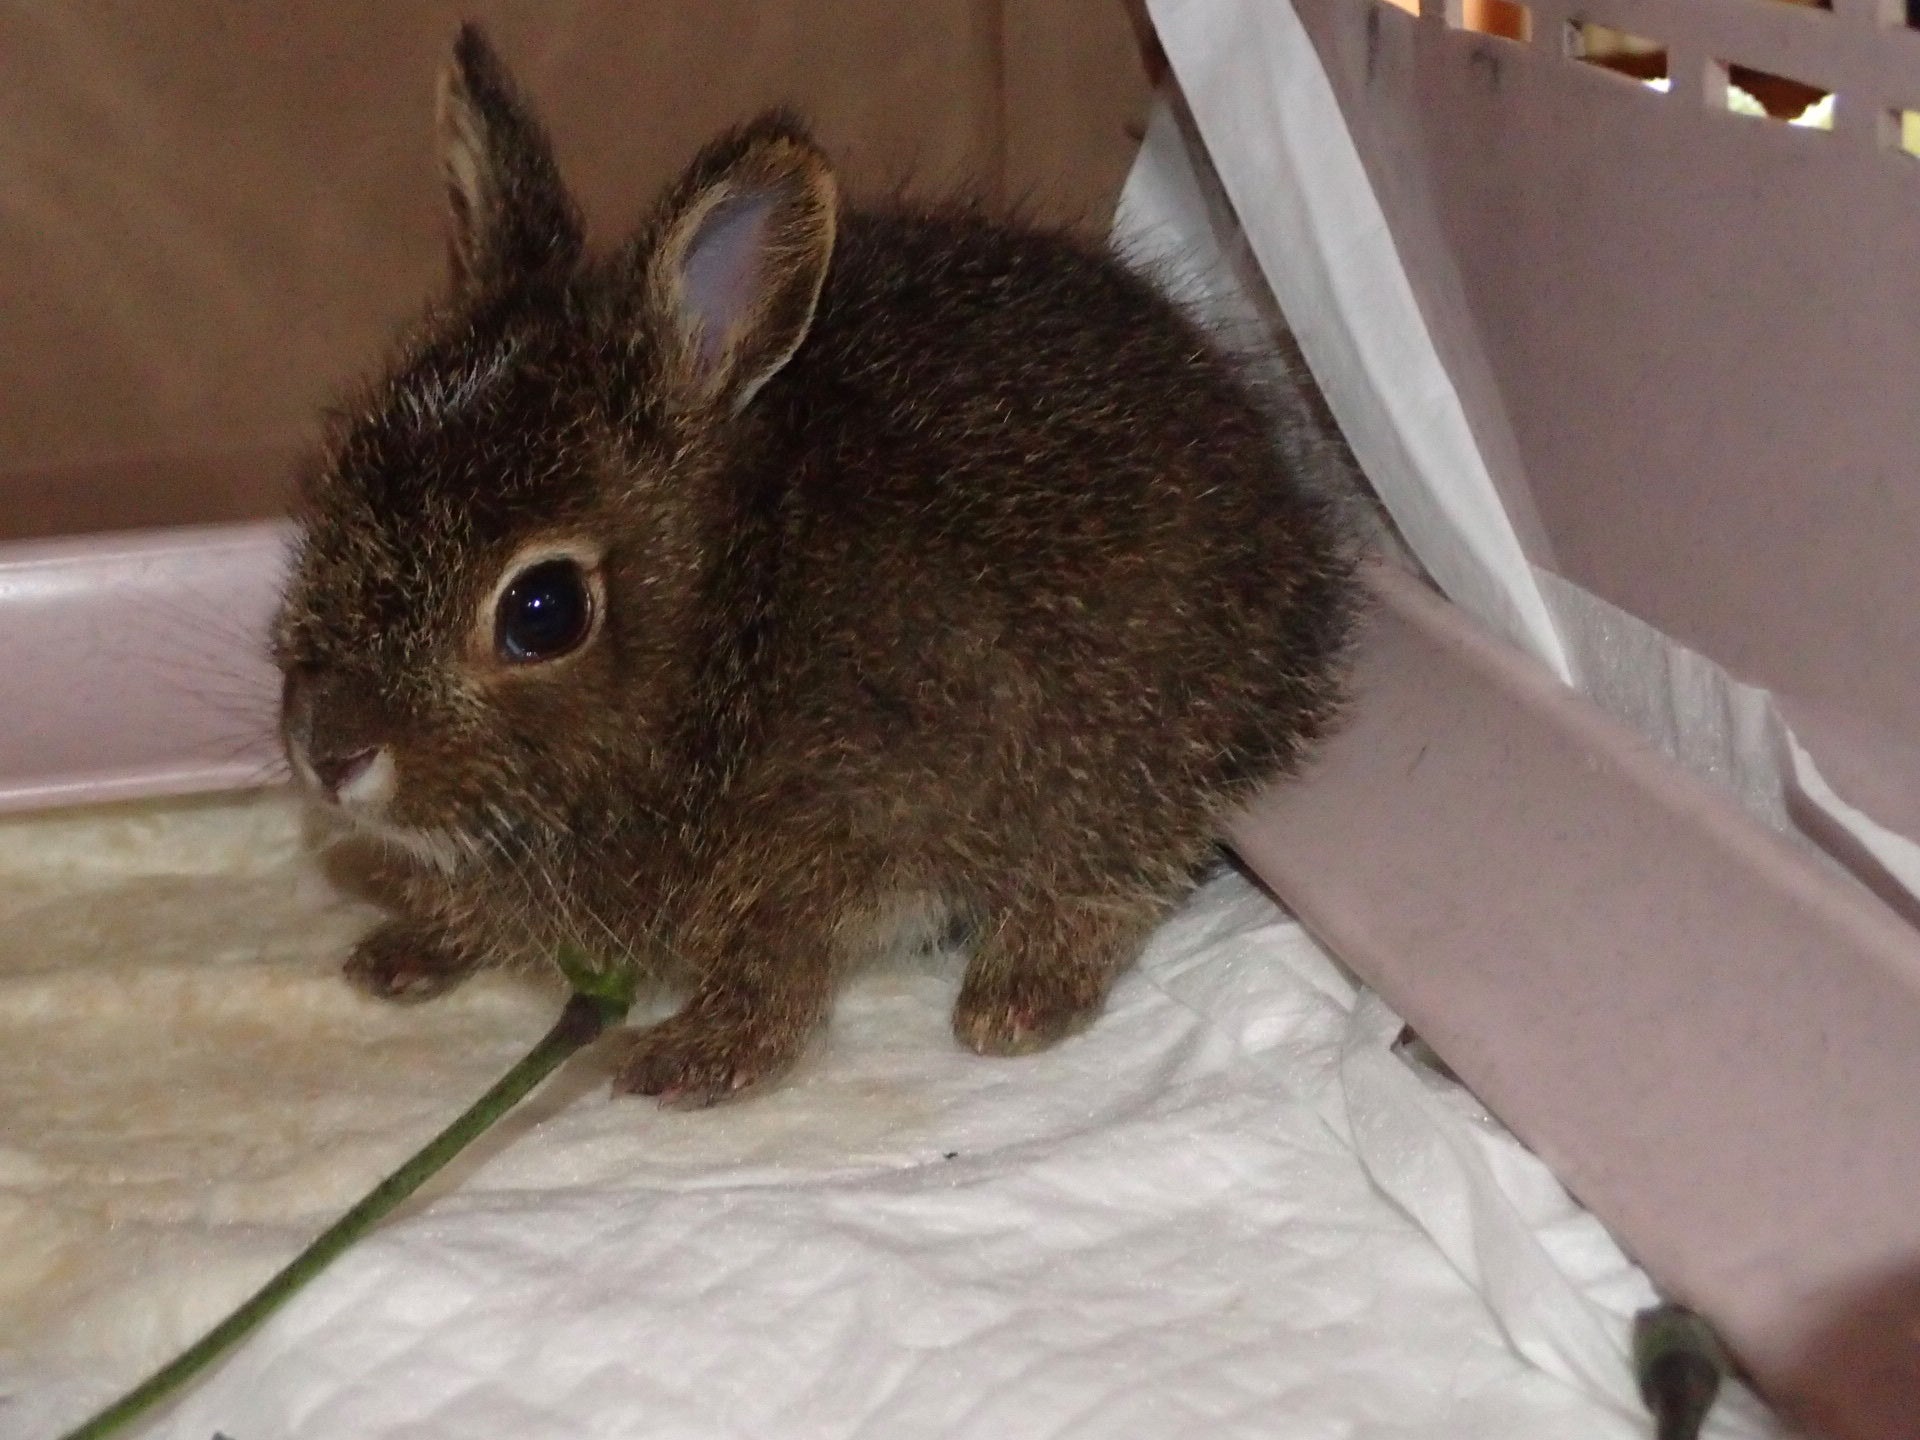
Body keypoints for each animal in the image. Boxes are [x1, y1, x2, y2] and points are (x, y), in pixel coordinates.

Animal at [280, 19, 1367, 1105]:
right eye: (334, 486)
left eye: (542, 609)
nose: (329, 755)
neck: (725, 627)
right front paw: (404, 951)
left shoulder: (840, 836)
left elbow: (777, 968)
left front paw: (685, 1061)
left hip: (1126, 748)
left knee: (1111, 870)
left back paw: (1012, 1002)